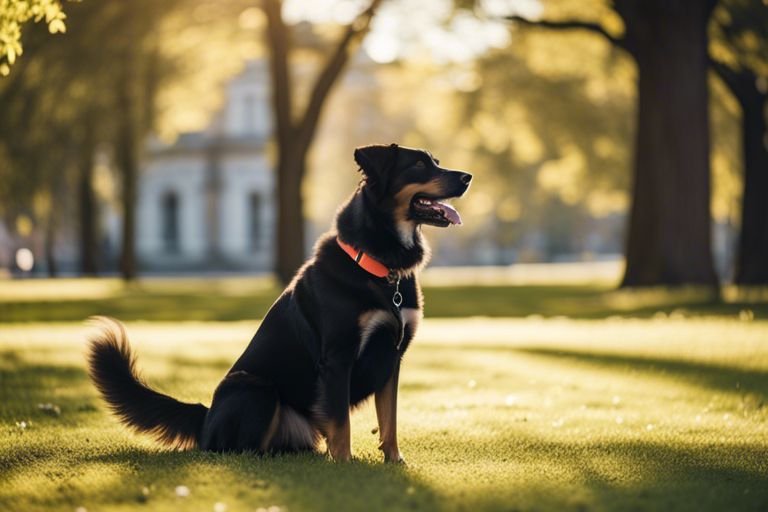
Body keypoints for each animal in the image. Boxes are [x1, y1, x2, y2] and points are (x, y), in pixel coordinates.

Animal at [87, 142, 472, 462]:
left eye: (436, 161)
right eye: (419, 165)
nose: (467, 176)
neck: (383, 268)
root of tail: (206, 416)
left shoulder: (392, 358)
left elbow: (389, 421)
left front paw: (394, 461)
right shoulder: (337, 357)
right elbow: (342, 424)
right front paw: (345, 466)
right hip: (255, 388)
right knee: (234, 449)